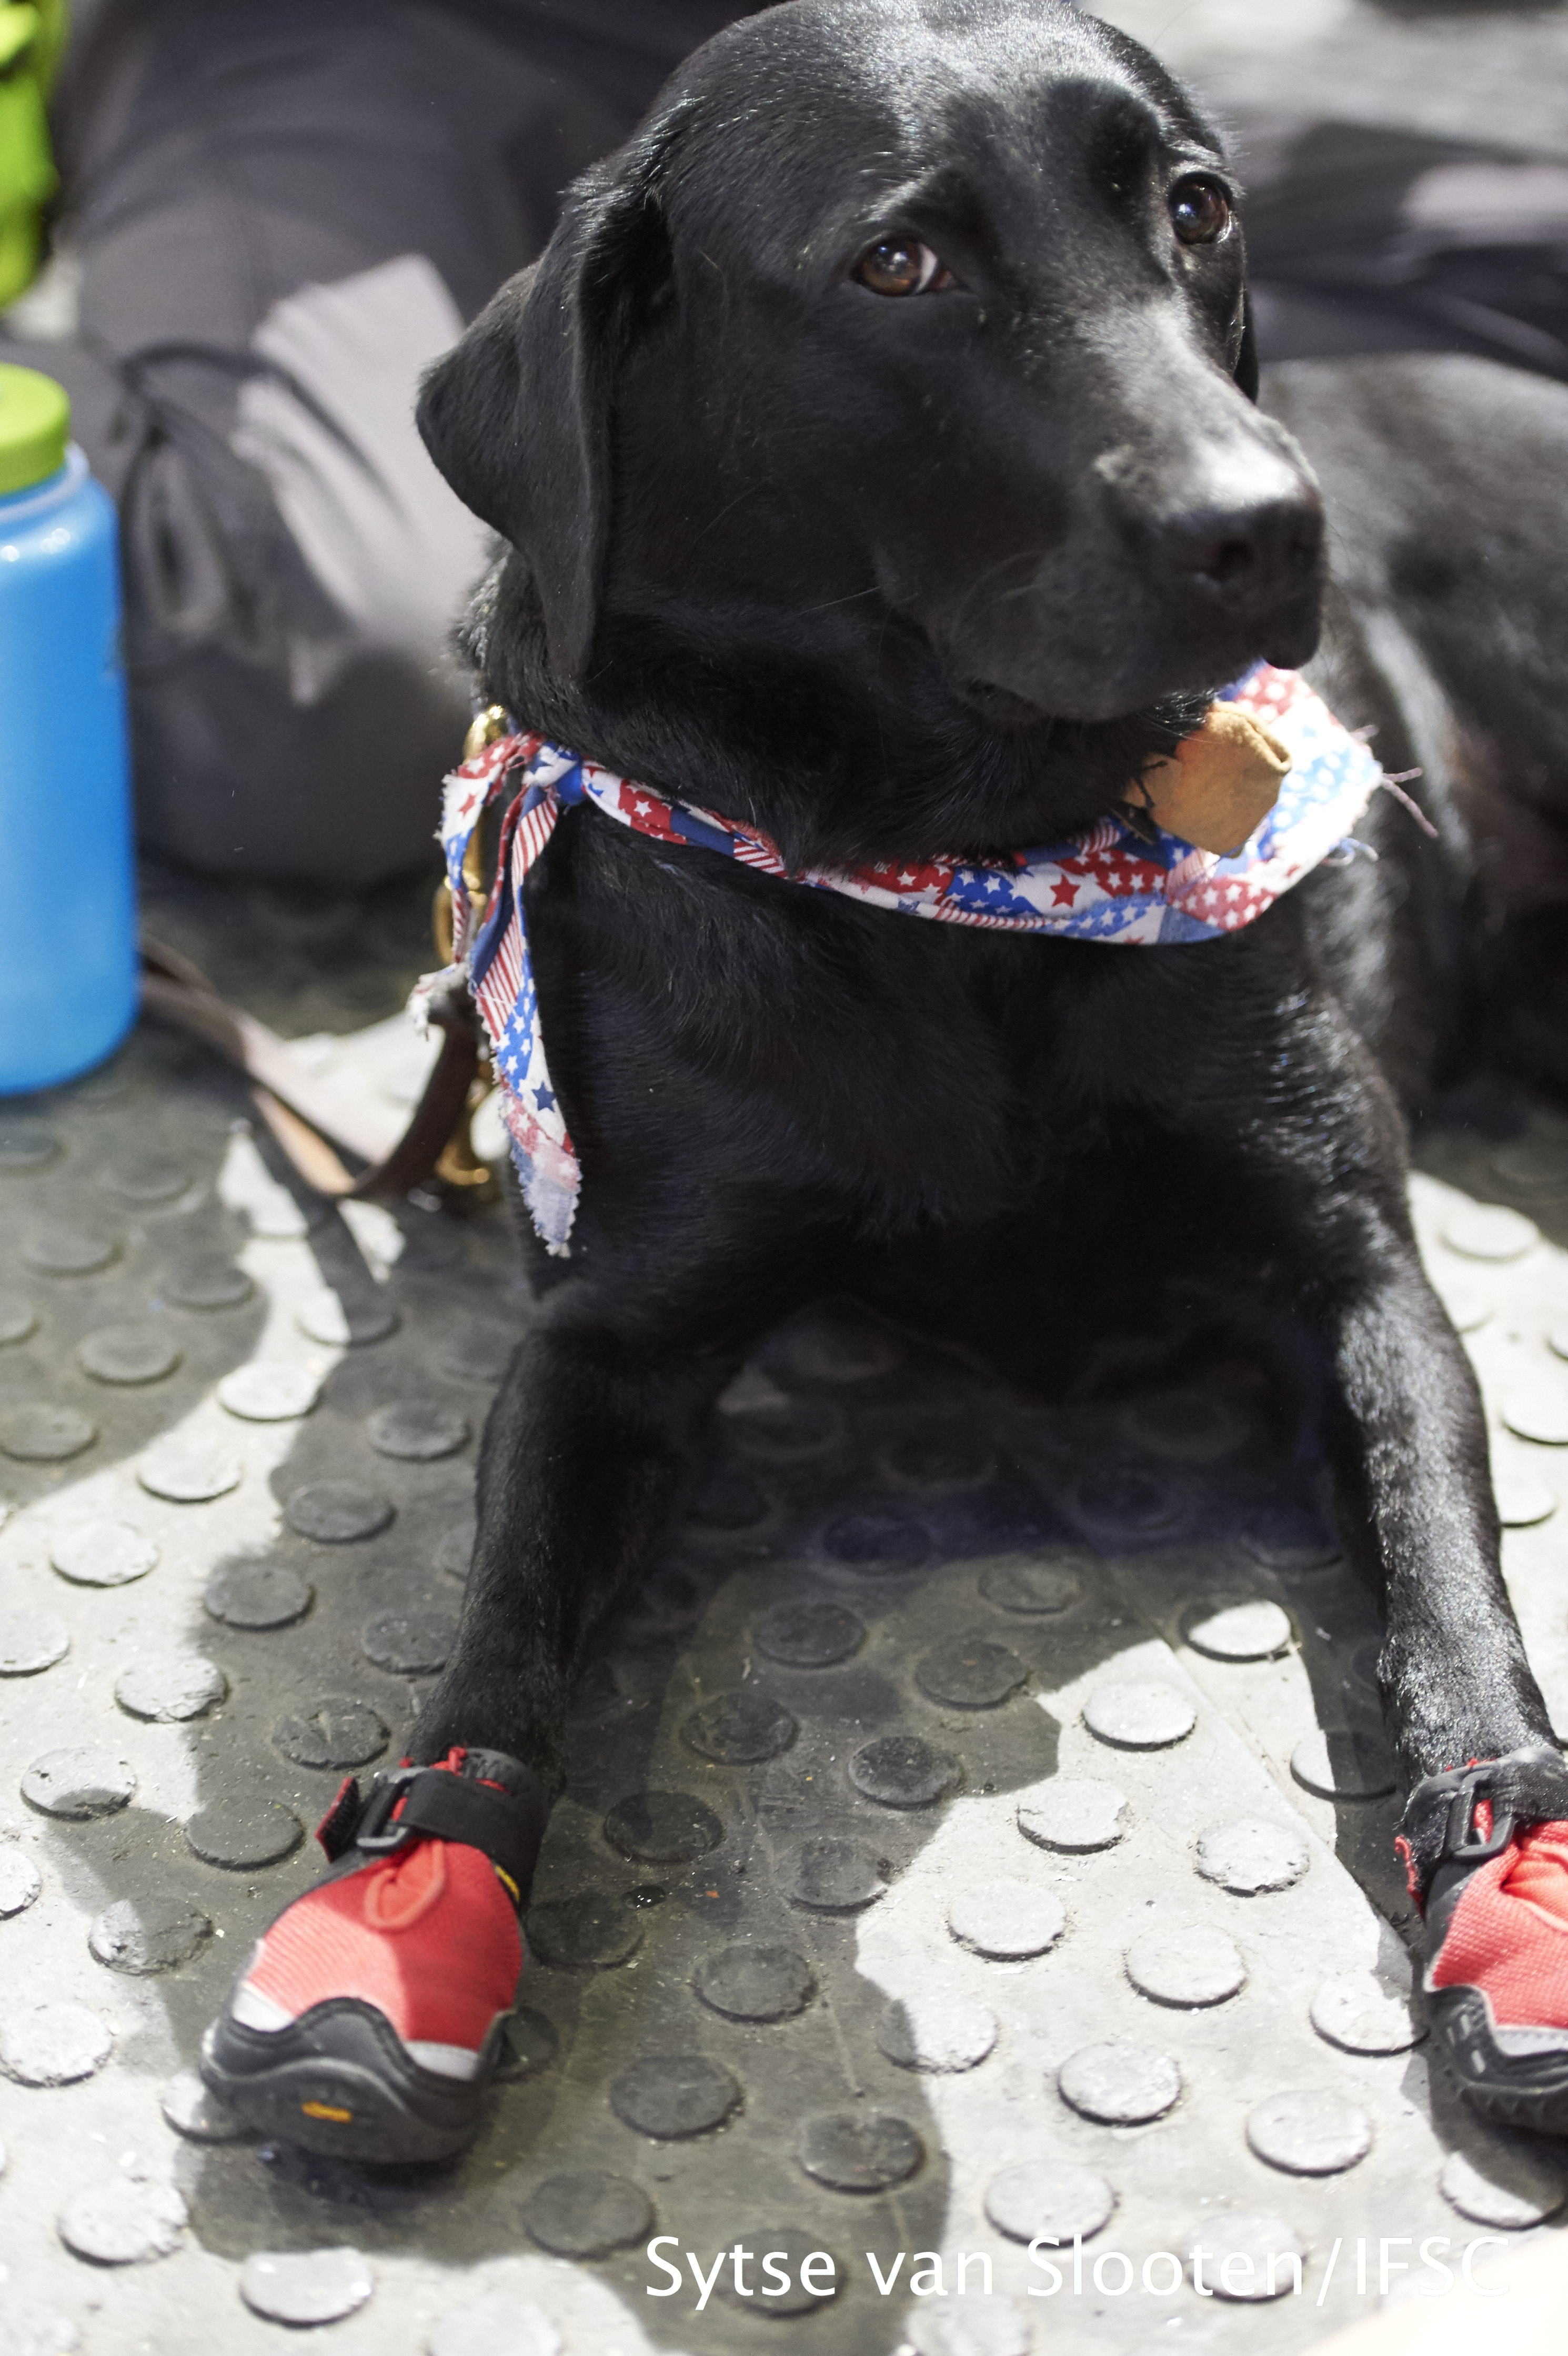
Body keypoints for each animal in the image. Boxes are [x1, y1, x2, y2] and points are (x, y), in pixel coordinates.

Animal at [207, 0, 1568, 2158]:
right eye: (899, 264)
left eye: (1195, 210)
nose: (1270, 525)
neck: (955, 867)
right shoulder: (608, 1332)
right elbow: (498, 1622)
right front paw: (400, 1911)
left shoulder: (1356, 1267)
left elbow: (1444, 1570)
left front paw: (1511, 1868)